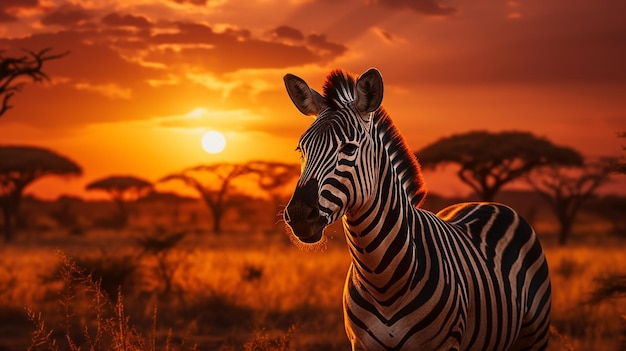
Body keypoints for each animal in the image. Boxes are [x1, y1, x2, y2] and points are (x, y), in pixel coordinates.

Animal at [280, 67, 548, 350]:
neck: (380, 280)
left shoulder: (444, 345)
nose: (299, 214)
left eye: (349, 148)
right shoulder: (360, 344)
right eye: (301, 149)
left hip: (535, 335)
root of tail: (488, 203)